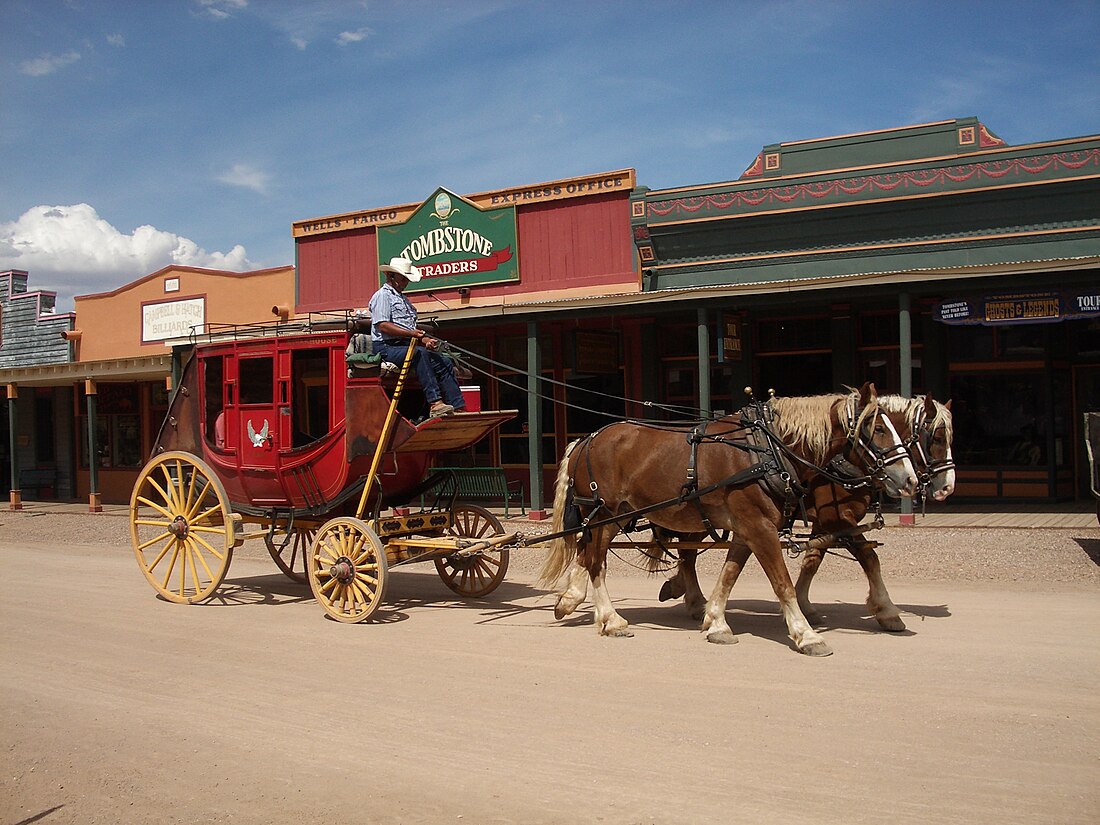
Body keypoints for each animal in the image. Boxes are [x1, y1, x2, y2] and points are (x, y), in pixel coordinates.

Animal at [536, 382, 915, 660]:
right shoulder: (762, 527)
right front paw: (806, 634)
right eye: (878, 429)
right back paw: (611, 619)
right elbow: (782, 582)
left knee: (589, 556)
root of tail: (586, 440)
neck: (766, 451)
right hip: (604, 515)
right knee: (596, 562)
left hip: (614, 517)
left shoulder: (748, 528)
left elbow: (730, 574)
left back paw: (578, 604)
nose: (910, 479)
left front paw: (715, 621)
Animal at [651, 393, 954, 633]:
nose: (947, 487)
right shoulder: (836, 517)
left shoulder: (824, 522)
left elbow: (813, 559)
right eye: (938, 437)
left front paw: (806, 605)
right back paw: (692, 599)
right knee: (687, 552)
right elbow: (868, 557)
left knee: (687, 551)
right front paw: (887, 611)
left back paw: (688, 595)